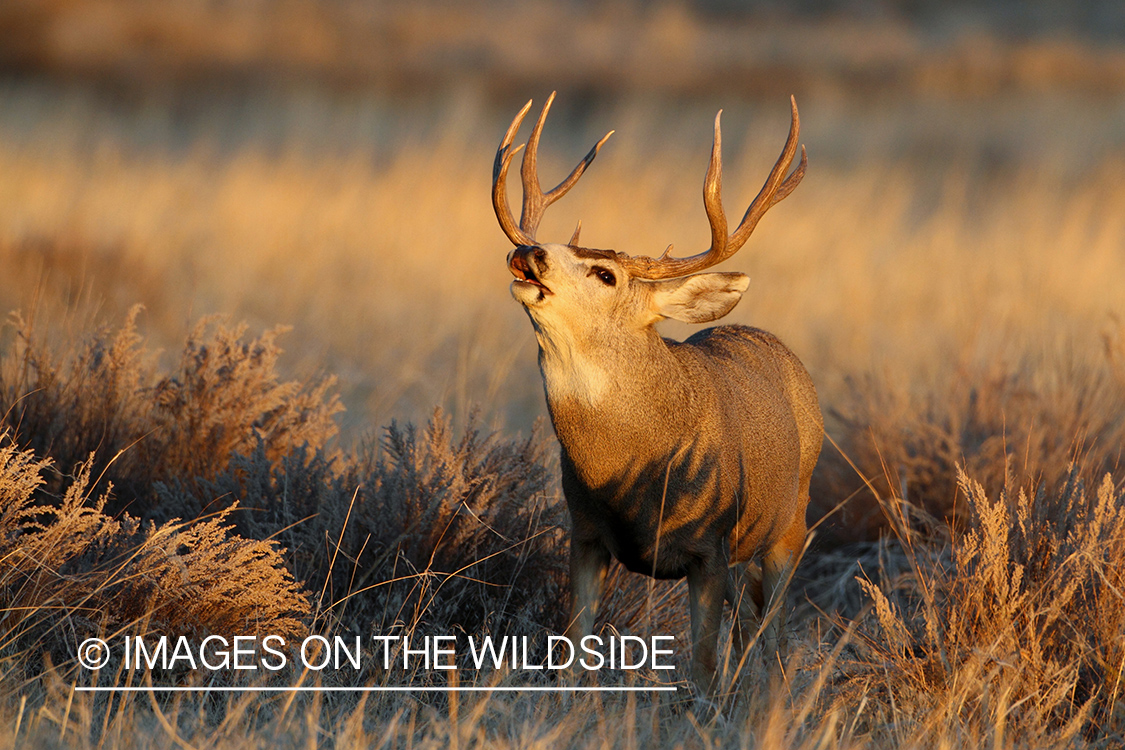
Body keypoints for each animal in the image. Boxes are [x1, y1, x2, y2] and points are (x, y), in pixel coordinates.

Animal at [488, 93, 823, 697]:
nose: (530, 251)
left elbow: (704, 666)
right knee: (751, 624)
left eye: (605, 274)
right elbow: (573, 650)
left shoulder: (709, 546)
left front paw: (710, 706)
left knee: (775, 630)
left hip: (791, 521)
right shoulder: (584, 531)